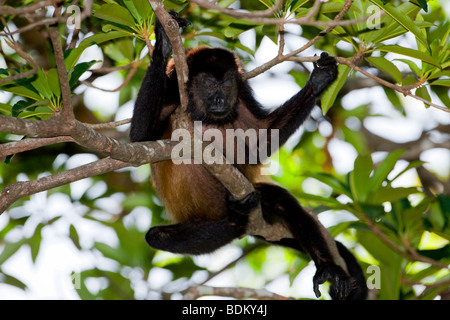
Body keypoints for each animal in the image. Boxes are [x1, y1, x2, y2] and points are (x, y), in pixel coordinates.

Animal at [128, 11, 368, 298]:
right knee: (156, 236)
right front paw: (163, 40)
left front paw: (318, 81)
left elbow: (260, 141)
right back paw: (236, 219)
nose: (220, 101)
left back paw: (326, 268)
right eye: (209, 84)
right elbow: (141, 138)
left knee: (280, 200)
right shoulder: (171, 89)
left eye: (227, 84)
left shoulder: (242, 95)